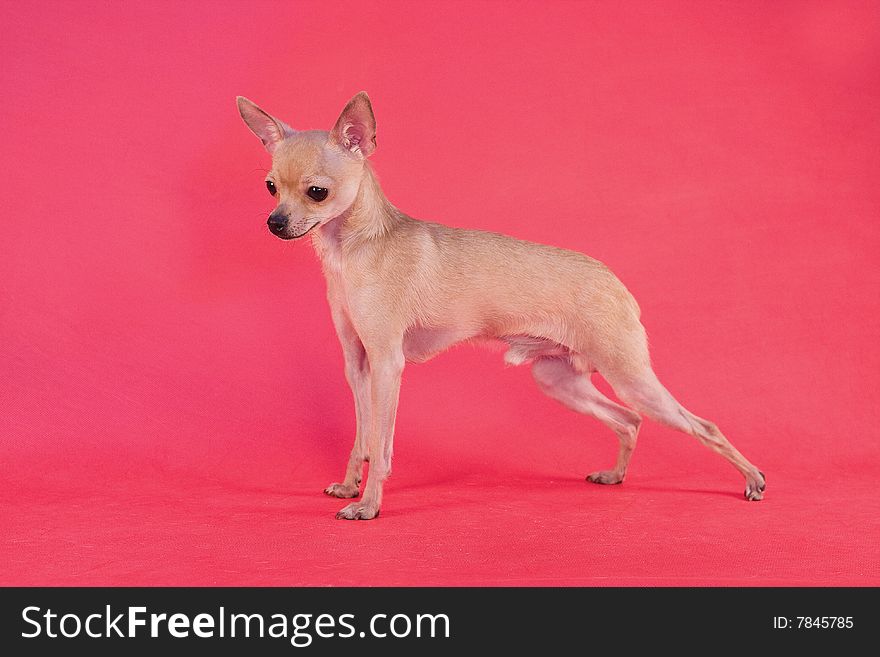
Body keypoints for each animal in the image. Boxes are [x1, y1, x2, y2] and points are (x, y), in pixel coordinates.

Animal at [237, 92, 768, 520]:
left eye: (317, 192)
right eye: (270, 187)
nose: (274, 222)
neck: (353, 250)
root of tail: (617, 284)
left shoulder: (388, 365)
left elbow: (382, 448)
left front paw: (368, 505)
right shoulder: (359, 365)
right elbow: (362, 438)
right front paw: (351, 485)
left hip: (629, 376)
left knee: (702, 425)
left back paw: (752, 480)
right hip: (559, 380)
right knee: (629, 420)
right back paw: (616, 476)